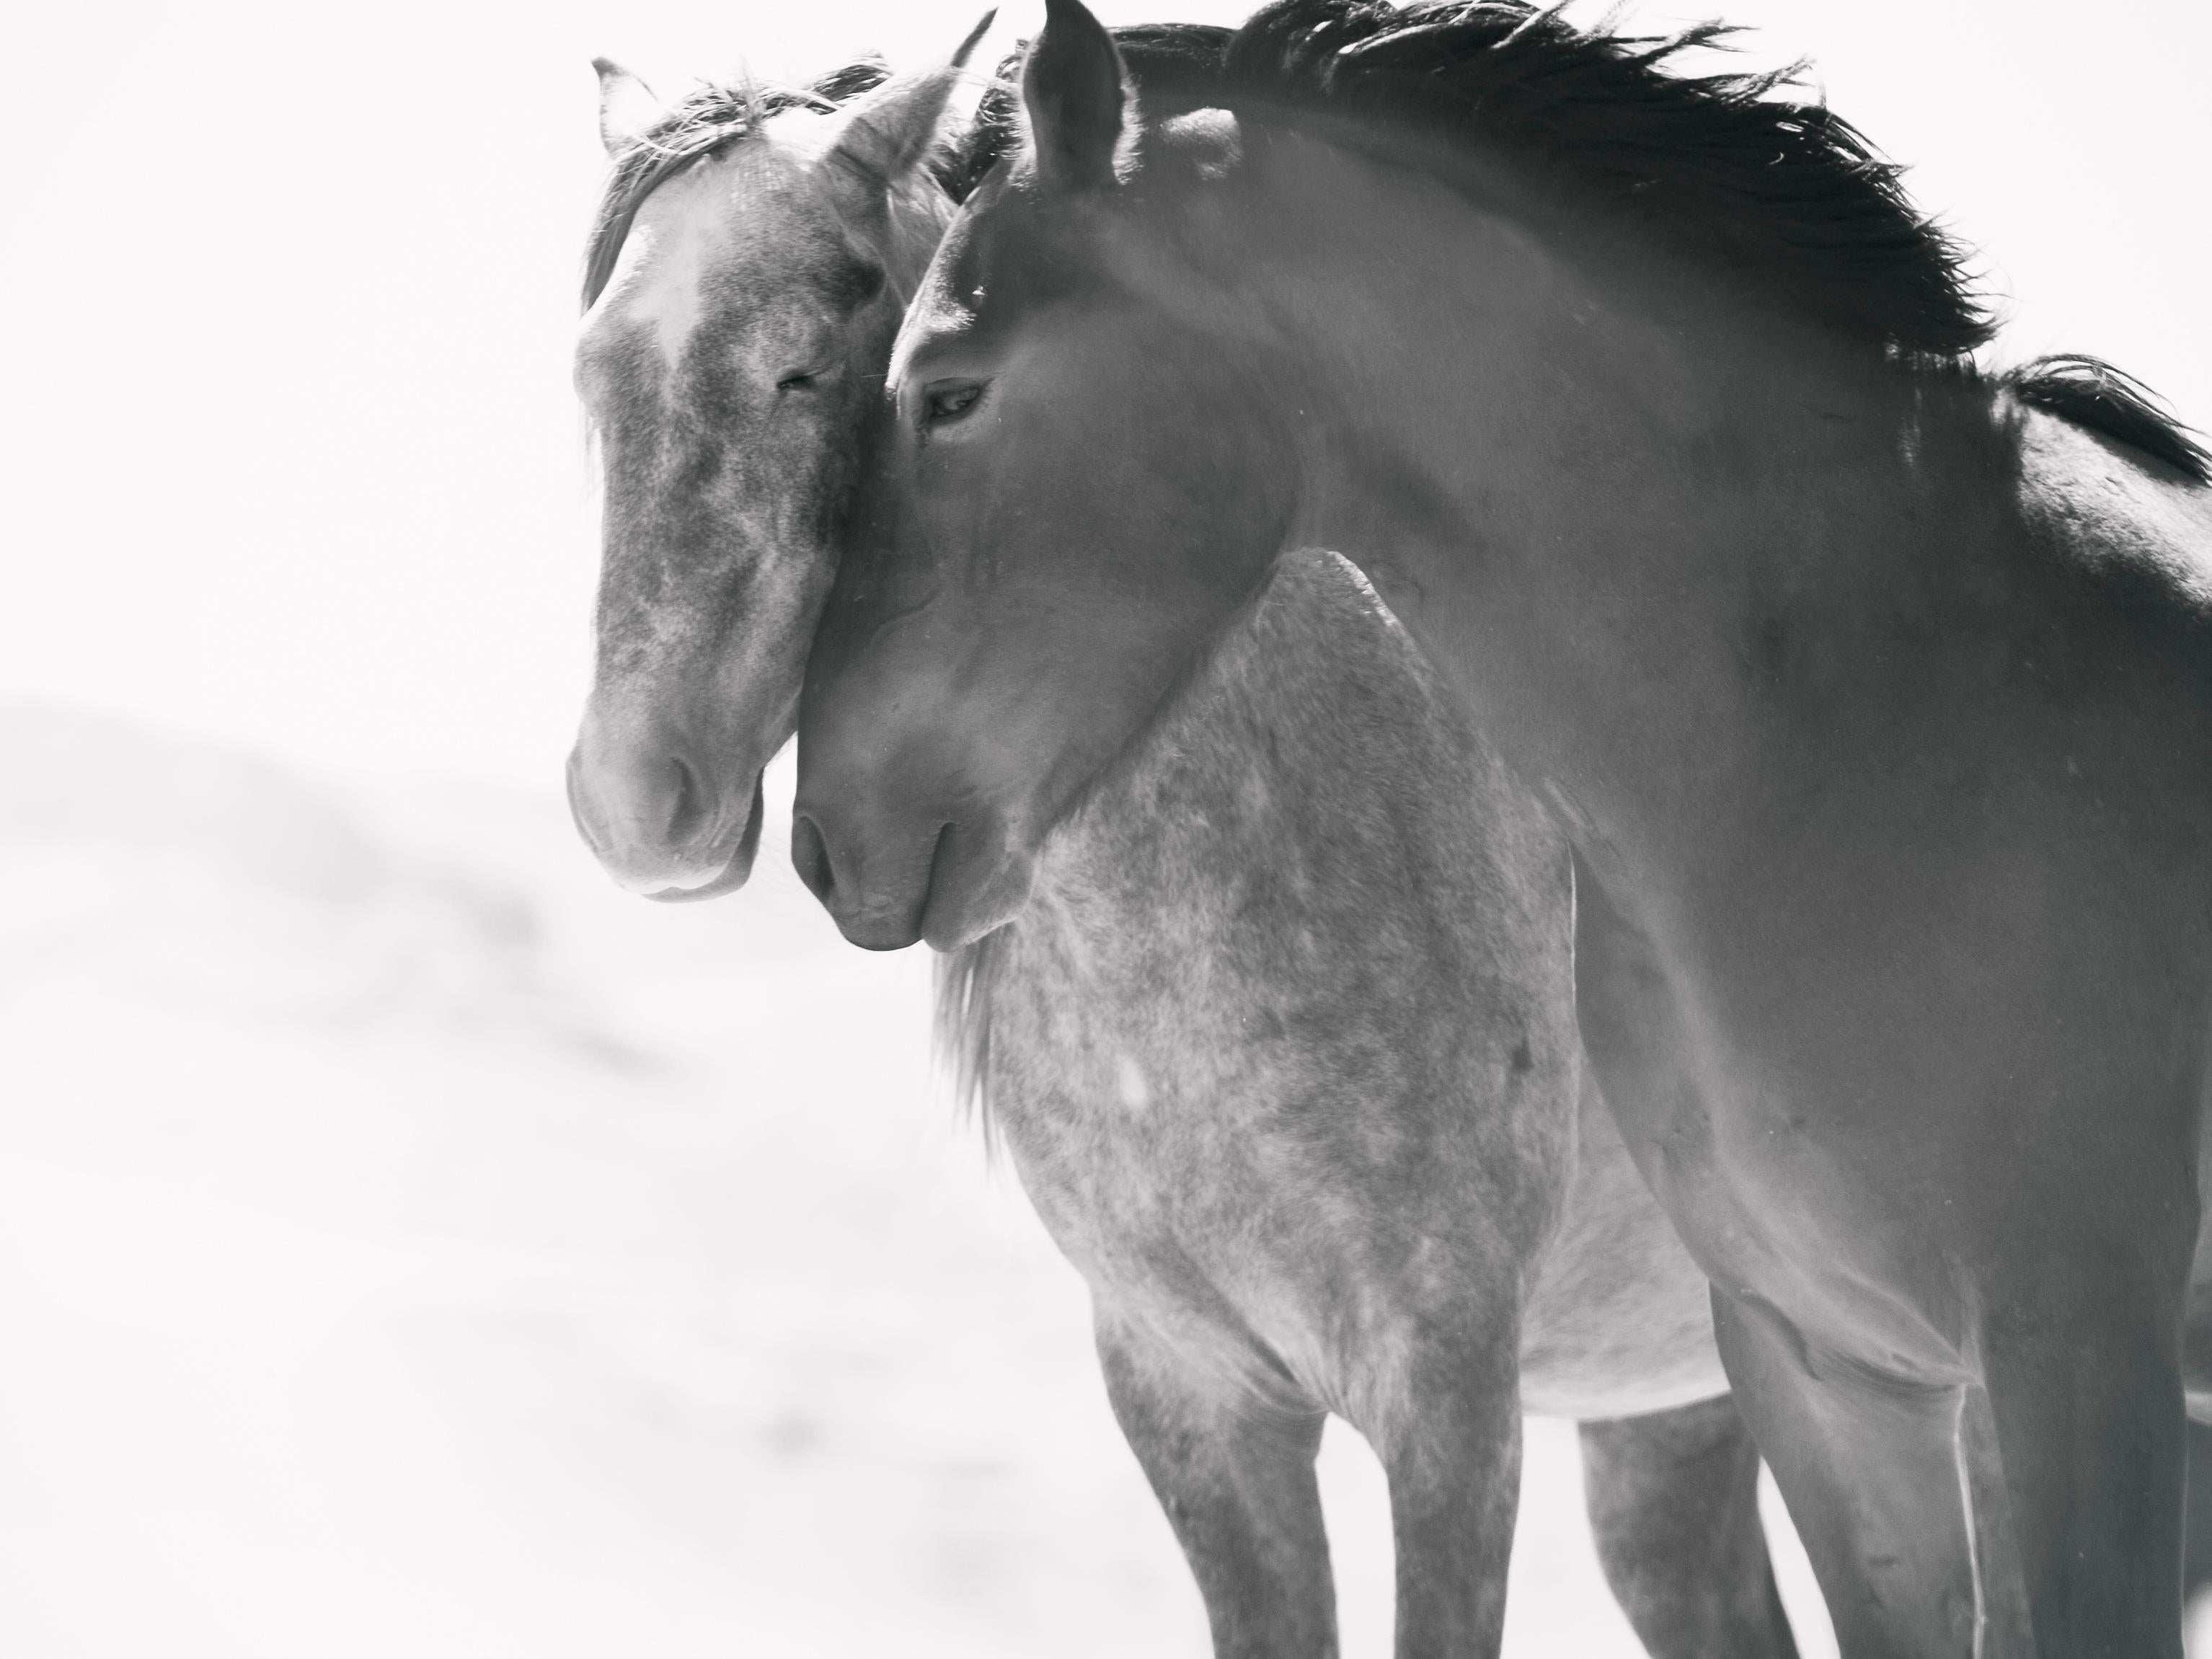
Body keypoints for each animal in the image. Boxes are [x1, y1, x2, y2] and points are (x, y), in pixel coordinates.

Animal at [566, 22, 1796, 1659]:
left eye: (808, 365)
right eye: (593, 374)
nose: (632, 798)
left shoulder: (1449, 1404)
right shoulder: (1191, 1396)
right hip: (1680, 1427)